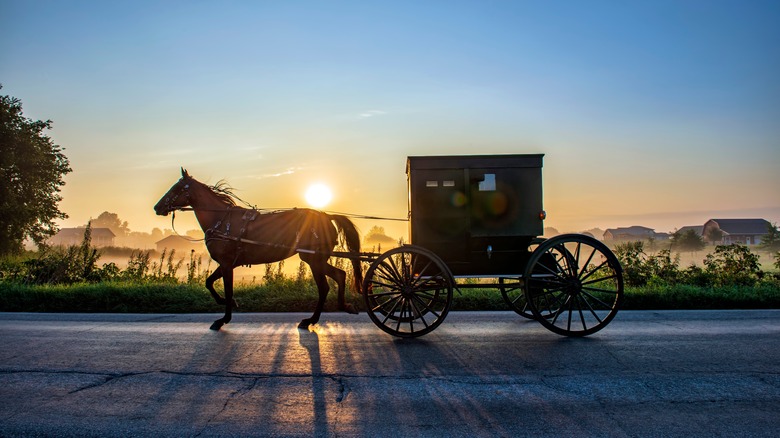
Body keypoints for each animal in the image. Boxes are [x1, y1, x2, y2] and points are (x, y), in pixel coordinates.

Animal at [154, 169, 364, 330]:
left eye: (176, 188)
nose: (157, 207)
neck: (221, 221)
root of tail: (326, 216)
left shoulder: (227, 263)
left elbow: (227, 289)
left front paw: (223, 319)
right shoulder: (227, 263)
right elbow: (209, 282)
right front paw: (227, 303)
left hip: (314, 260)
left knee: (325, 287)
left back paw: (311, 320)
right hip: (315, 259)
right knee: (340, 275)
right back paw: (344, 306)